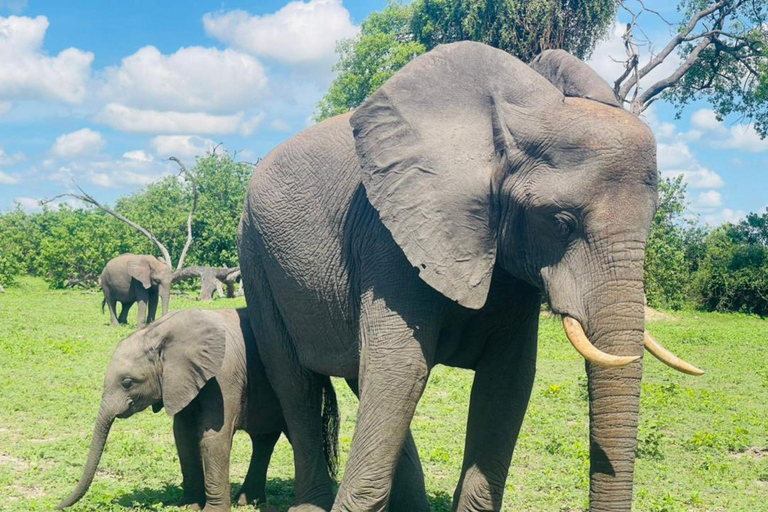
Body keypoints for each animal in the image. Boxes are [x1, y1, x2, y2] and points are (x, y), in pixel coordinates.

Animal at [57, 308, 340, 512]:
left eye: (127, 383)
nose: (59, 504)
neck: (158, 332)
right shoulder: (182, 380)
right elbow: (182, 436)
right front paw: (188, 506)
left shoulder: (223, 375)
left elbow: (213, 437)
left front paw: (211, 511)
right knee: (263, 439)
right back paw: (249, 502)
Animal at [238, 41, 704, 512]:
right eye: (561, 222)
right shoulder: (391, 236)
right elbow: (401, 368)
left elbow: (507, 381)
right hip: (255, 257)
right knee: (297, 384)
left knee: (363, 382)